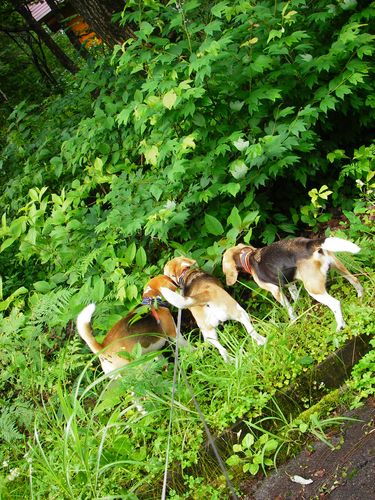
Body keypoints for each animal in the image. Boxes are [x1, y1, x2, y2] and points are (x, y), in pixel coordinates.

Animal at [223, 236, 364, 330]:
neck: (247, 257)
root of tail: (309, 243)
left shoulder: (276, 291)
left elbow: (289, 308)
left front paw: (293, 320)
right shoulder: (290, 284)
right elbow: (295, 298)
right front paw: (301, 309)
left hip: (313, 288)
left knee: (335, 303)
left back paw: (340, 326)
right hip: (339, 267)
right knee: (355, 280)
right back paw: (361, 297)